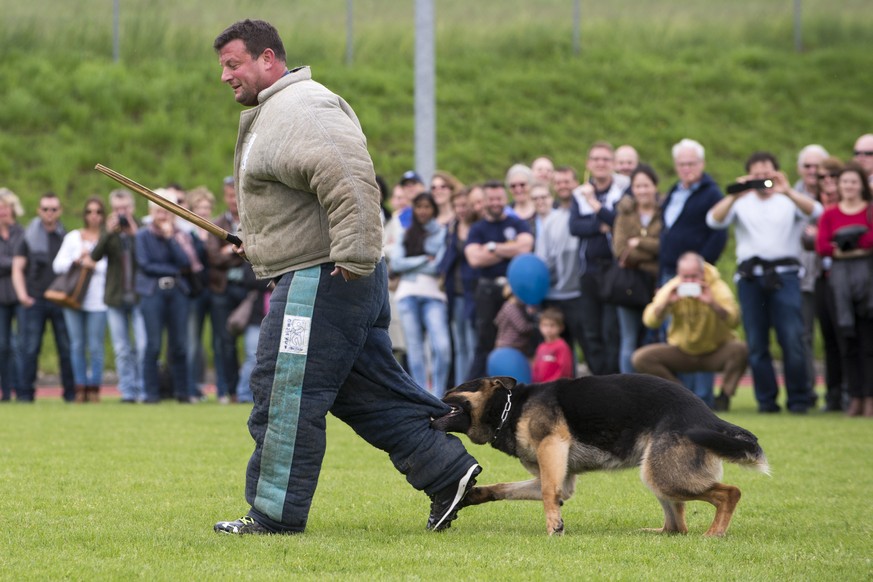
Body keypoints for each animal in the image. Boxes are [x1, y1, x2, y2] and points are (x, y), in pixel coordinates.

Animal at [430, 376, 768, 536]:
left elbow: (550, 494)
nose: (428, 401)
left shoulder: (552, 447)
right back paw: (656, 533)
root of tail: (708, 417)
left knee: (730, 493)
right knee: (677, 527)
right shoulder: (559, 478)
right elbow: (503, 488)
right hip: (658, 475)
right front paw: (472, 495)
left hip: (664, 476)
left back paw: (714, 533)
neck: (509, 409)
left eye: (451, 391)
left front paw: (554, 527)